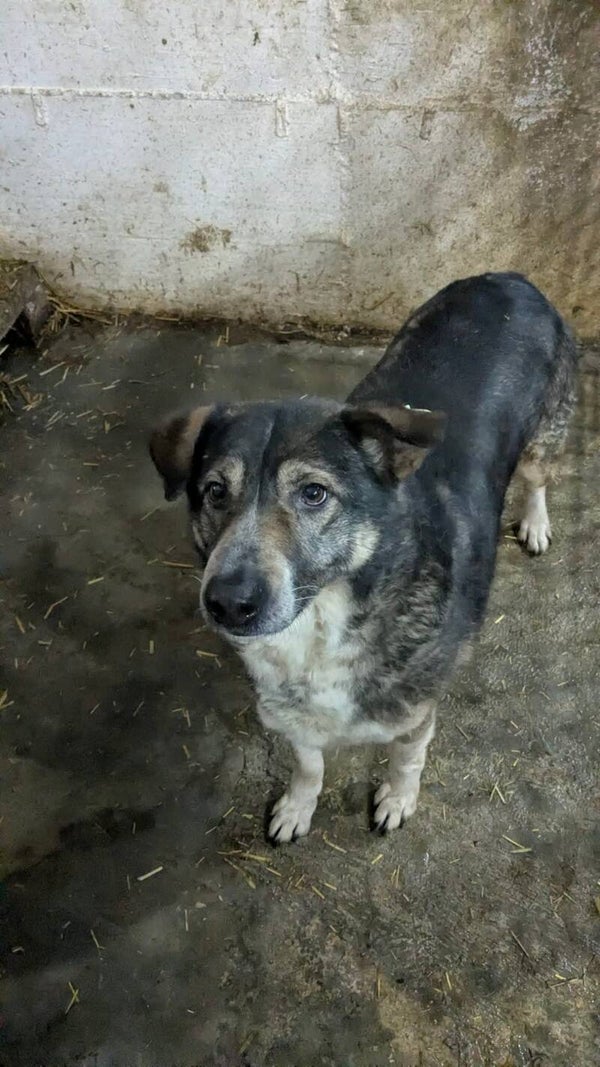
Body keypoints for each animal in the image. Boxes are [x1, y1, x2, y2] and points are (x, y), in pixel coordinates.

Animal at [150, 272, 577, 843]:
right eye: (215, 492)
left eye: (313, 494)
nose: (229, 603)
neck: (324, 623)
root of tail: (511, 278)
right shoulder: (289, 711)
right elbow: (308, 765)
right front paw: (297, 807)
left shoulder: (415, 711)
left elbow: (407, 759)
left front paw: (397, 799)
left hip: (543, 439)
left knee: (537, 479)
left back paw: (534, 521)